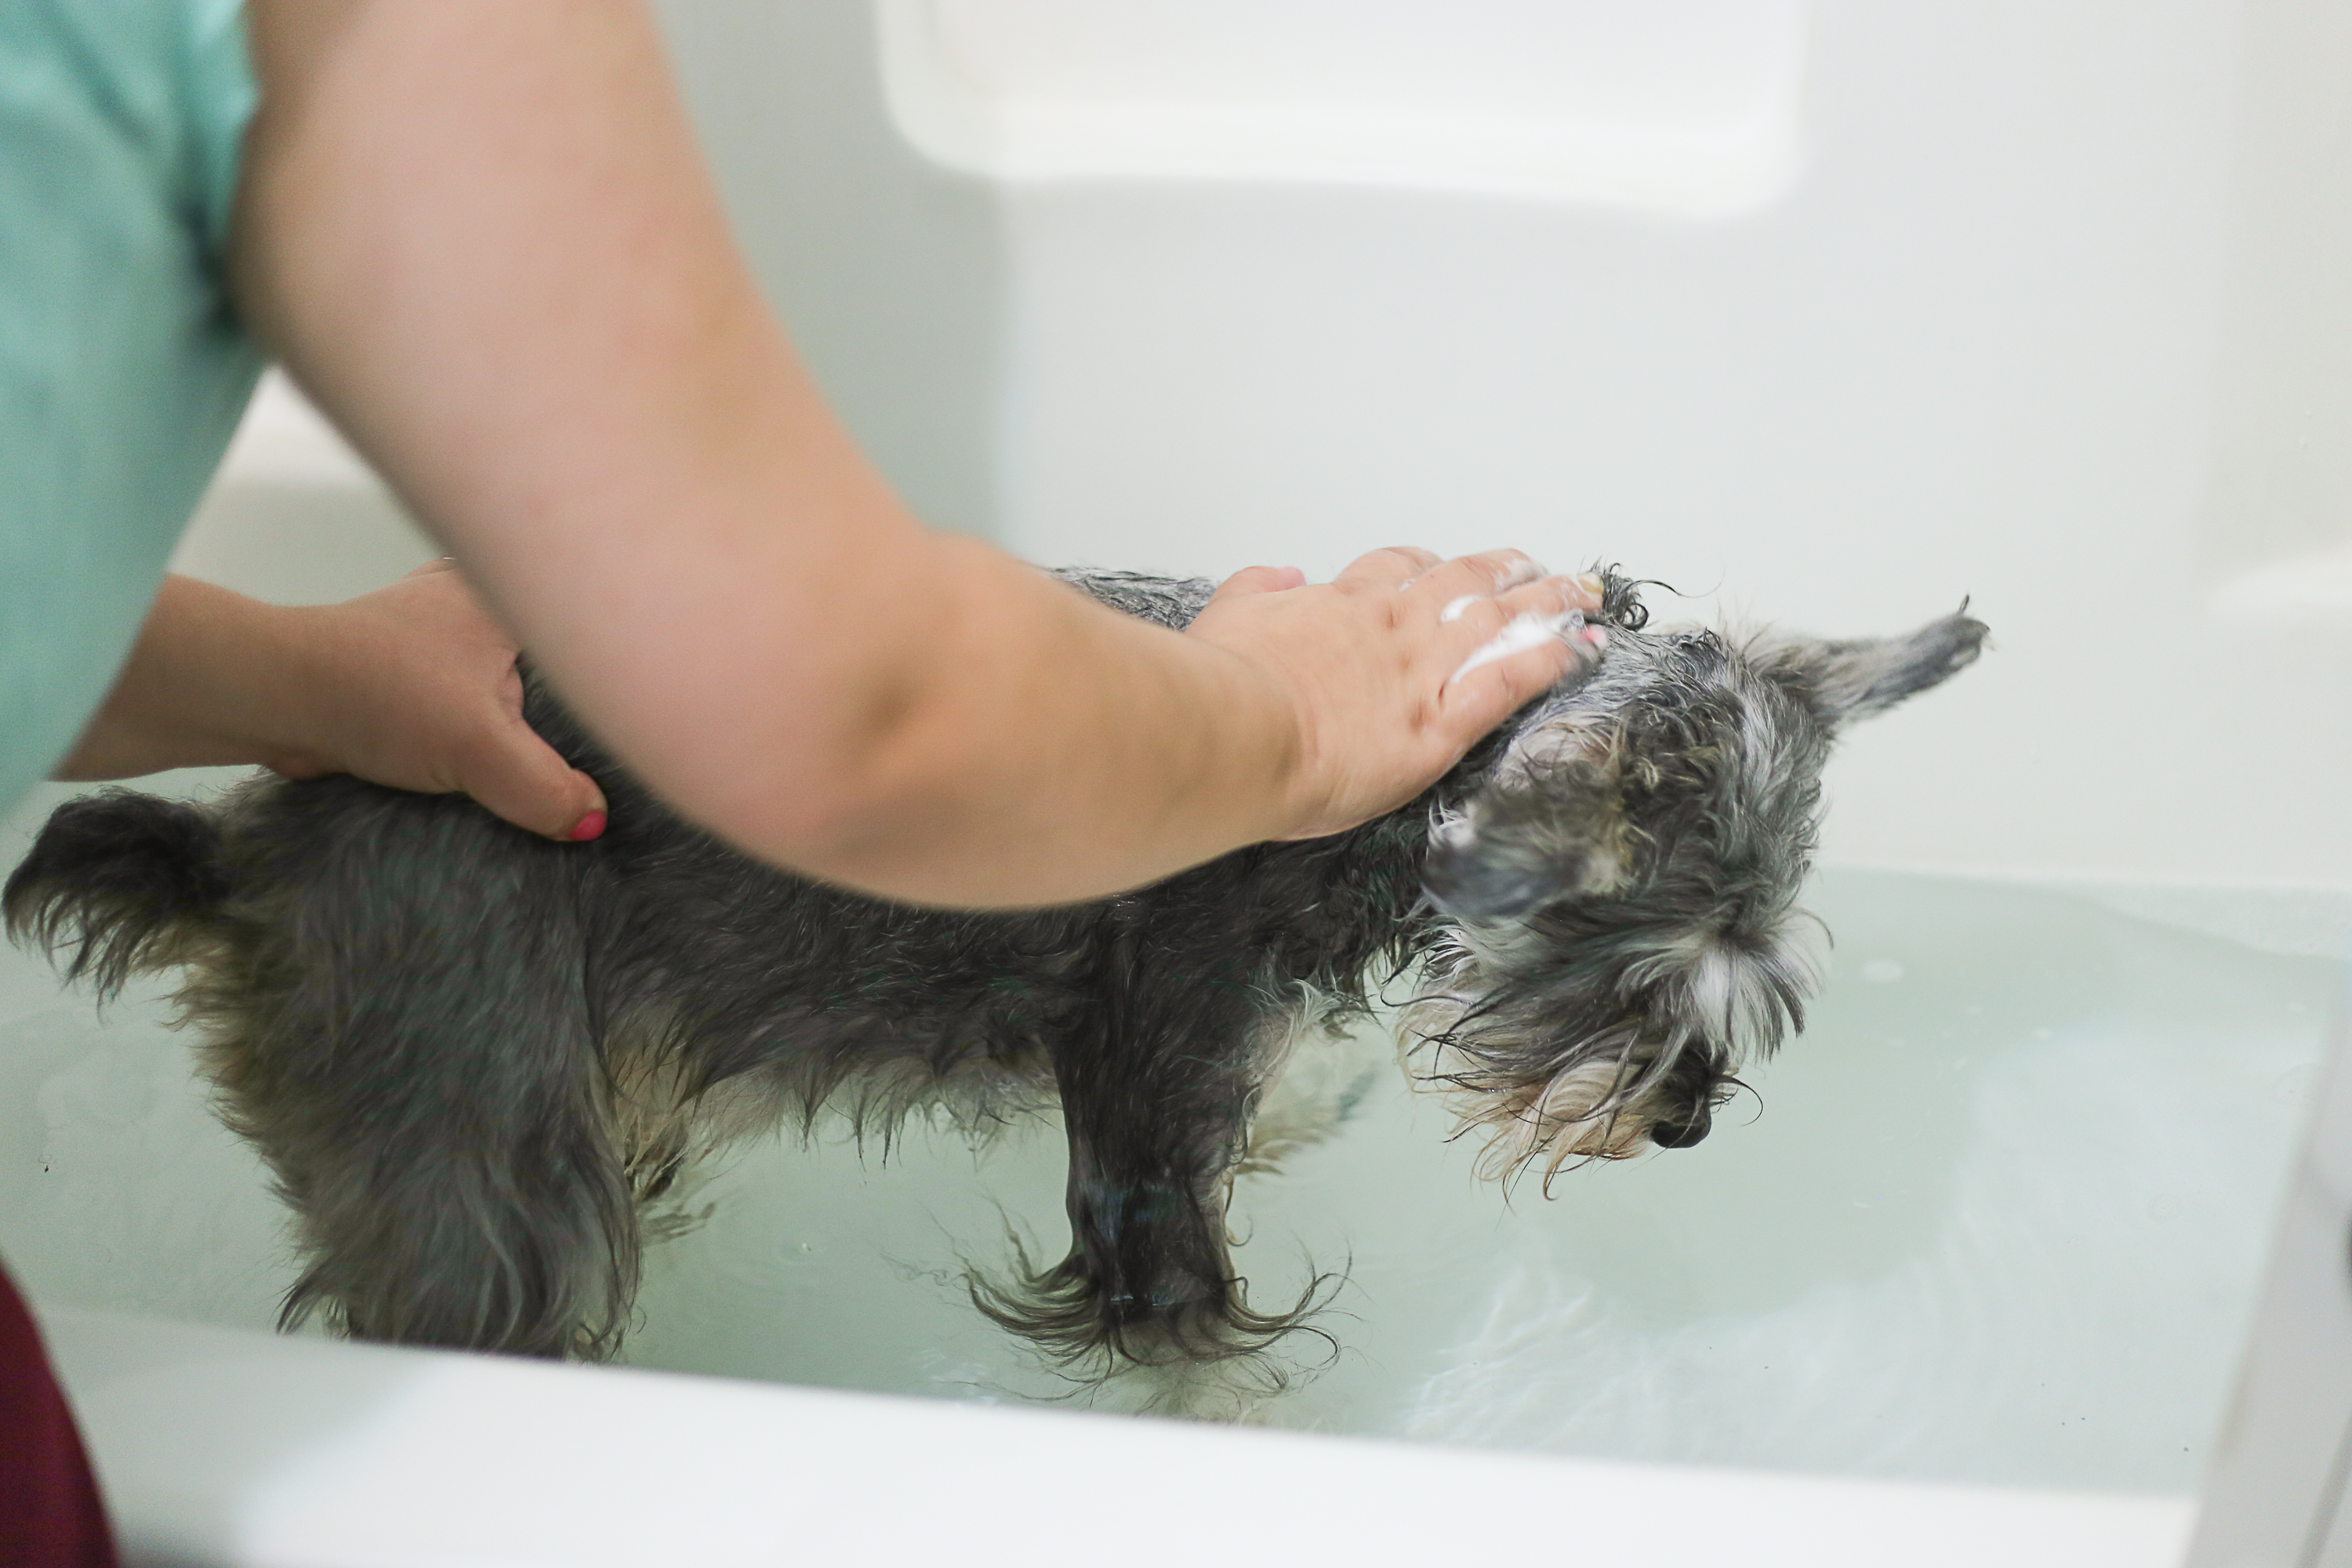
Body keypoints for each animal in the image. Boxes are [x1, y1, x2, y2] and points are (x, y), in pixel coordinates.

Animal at [0, 571, 1985, 1382]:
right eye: (1641, 965)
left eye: (1754, 962)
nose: (1684, 1124)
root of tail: (241, 856)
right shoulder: (1144, 1134)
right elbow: (1193, 1337)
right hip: (483, 1176)